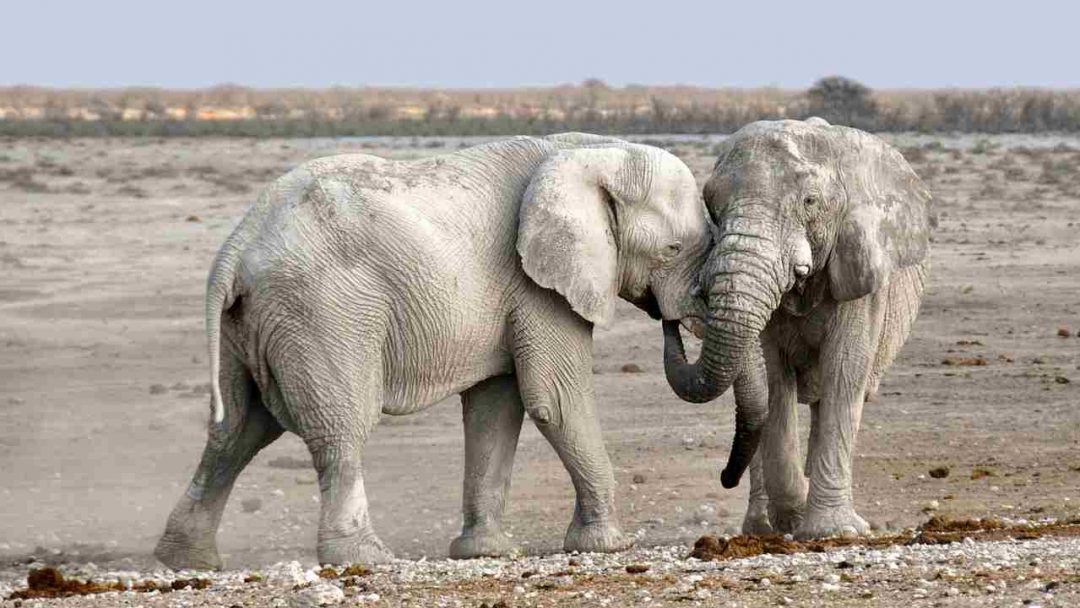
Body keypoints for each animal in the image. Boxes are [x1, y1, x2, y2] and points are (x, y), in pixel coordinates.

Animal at [150, 132, 708, 570]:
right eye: (673, 250)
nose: (671, 321)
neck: (592, 151)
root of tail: (237, 245)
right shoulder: (537, 285)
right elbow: (554, 399)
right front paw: (609, 544)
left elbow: (495, 408)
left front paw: (485, 552)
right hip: (322, 311)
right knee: (339, 428)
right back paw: (366, 558)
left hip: (250, 324)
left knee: (237, 430)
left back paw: (186, 560)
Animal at [660, 117, 933, 537]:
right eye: (712, 206)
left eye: (810, 202)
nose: (724, 478)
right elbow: (774, 379)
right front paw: (794, 517)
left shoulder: (861, 271)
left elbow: (845, 371)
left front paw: (833, 531)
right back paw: (762, 527)